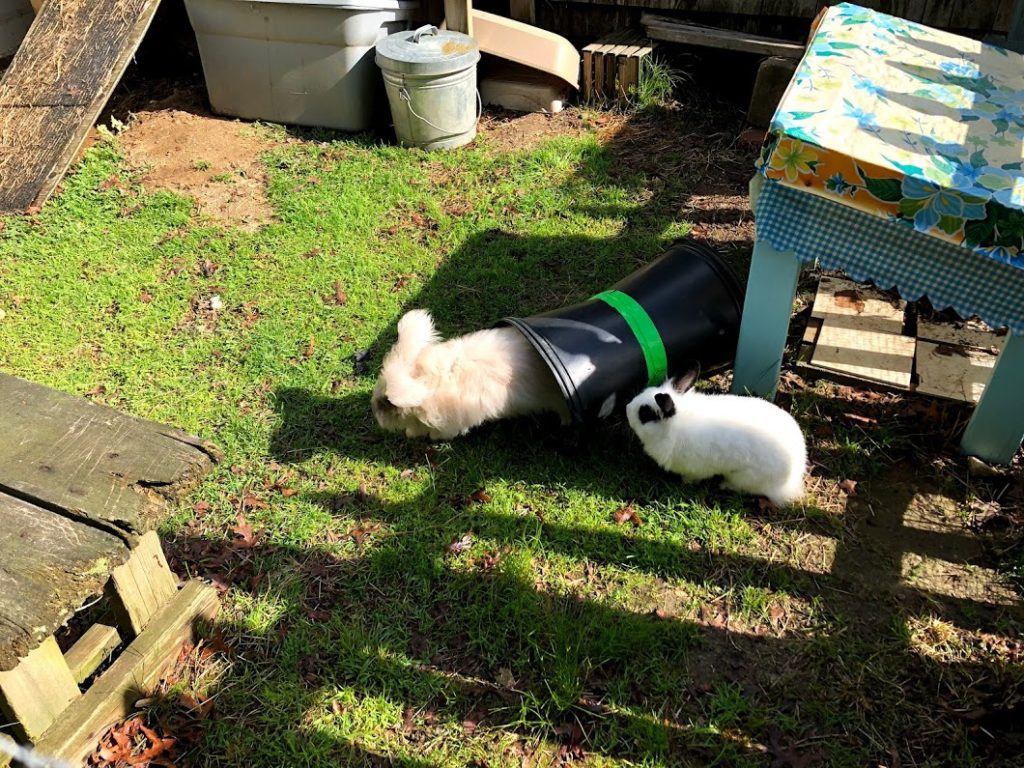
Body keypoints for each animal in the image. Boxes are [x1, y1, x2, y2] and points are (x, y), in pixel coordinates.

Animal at [626, 364, 807, 506]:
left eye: (645, 414)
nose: (627, 408)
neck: (673, 428)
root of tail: (793, 478)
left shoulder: (695, 468)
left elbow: (691, 477)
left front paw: (685, 483)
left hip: (744, 477)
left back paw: (724, 485)